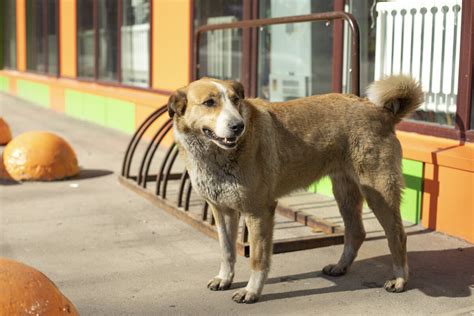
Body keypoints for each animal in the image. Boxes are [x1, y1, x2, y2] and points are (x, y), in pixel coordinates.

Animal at [167, 74, 422, 304]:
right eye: (209, 102)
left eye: (235, 100)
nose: (238, 126)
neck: (216, 154)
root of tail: (382, 112)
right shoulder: (222, 211)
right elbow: (227, 251)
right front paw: (225, 278)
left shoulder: (258, 212)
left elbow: (257, 259)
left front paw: (251, 291)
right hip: (345, 192)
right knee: (356, 232)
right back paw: (340, 266)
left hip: (379, 192)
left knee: (397, 235)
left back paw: (400, 279)